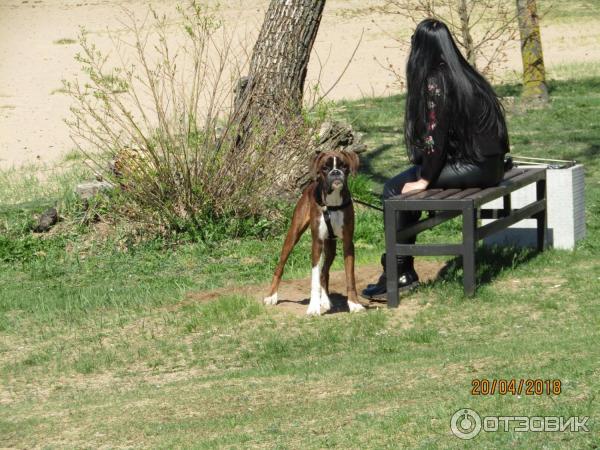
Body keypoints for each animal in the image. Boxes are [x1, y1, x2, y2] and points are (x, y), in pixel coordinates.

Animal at [264, 151, 366, 316]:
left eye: (344, 166)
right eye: (325, 168)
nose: (335, 172)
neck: (332, 203)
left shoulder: (348, 243)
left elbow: (350, 277)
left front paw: (354, 304)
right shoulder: (317, 243)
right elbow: (314, 278)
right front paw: (313, 307)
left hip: (330, 247)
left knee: (324, 273)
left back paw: (325, 300)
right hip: (293, 236)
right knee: (280, 267)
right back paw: (272, 296)